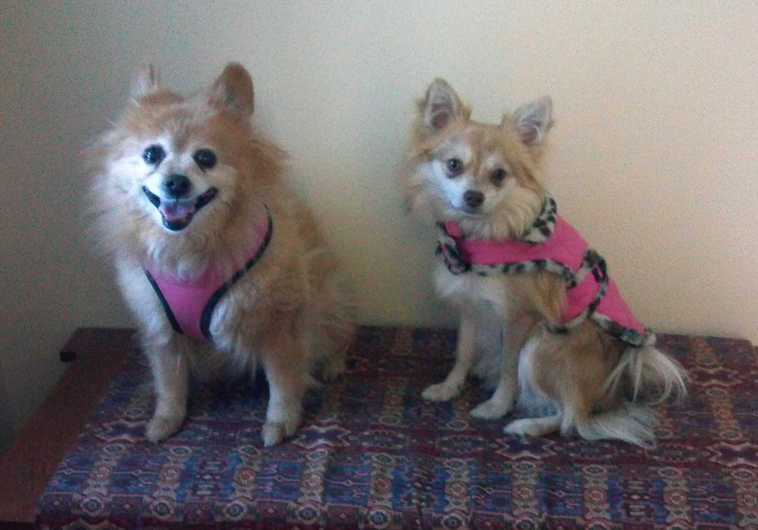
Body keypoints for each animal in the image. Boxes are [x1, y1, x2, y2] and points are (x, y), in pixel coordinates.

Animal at [87, 63, 354, 446]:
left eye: (205, 158)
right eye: (152, 155)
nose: (176, 182)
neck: (188, 248)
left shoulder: (279, 324)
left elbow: (283, 381)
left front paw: (281, 421)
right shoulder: (160, 329)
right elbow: (169, 382)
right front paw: (167, 419)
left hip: (329, 302)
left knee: (338, 336)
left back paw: (333, 363)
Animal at [404, 79, 688, 446]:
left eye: (499, 175)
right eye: (453, 165)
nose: (473, 196)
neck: (481, 235)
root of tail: (615, 386)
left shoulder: (519, 317)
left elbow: (509, 367)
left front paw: (497, 406)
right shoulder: (470, 307)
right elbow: (463, 351)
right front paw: (449, 387)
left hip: (545, 342)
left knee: (573, 418)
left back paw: (529, 425)